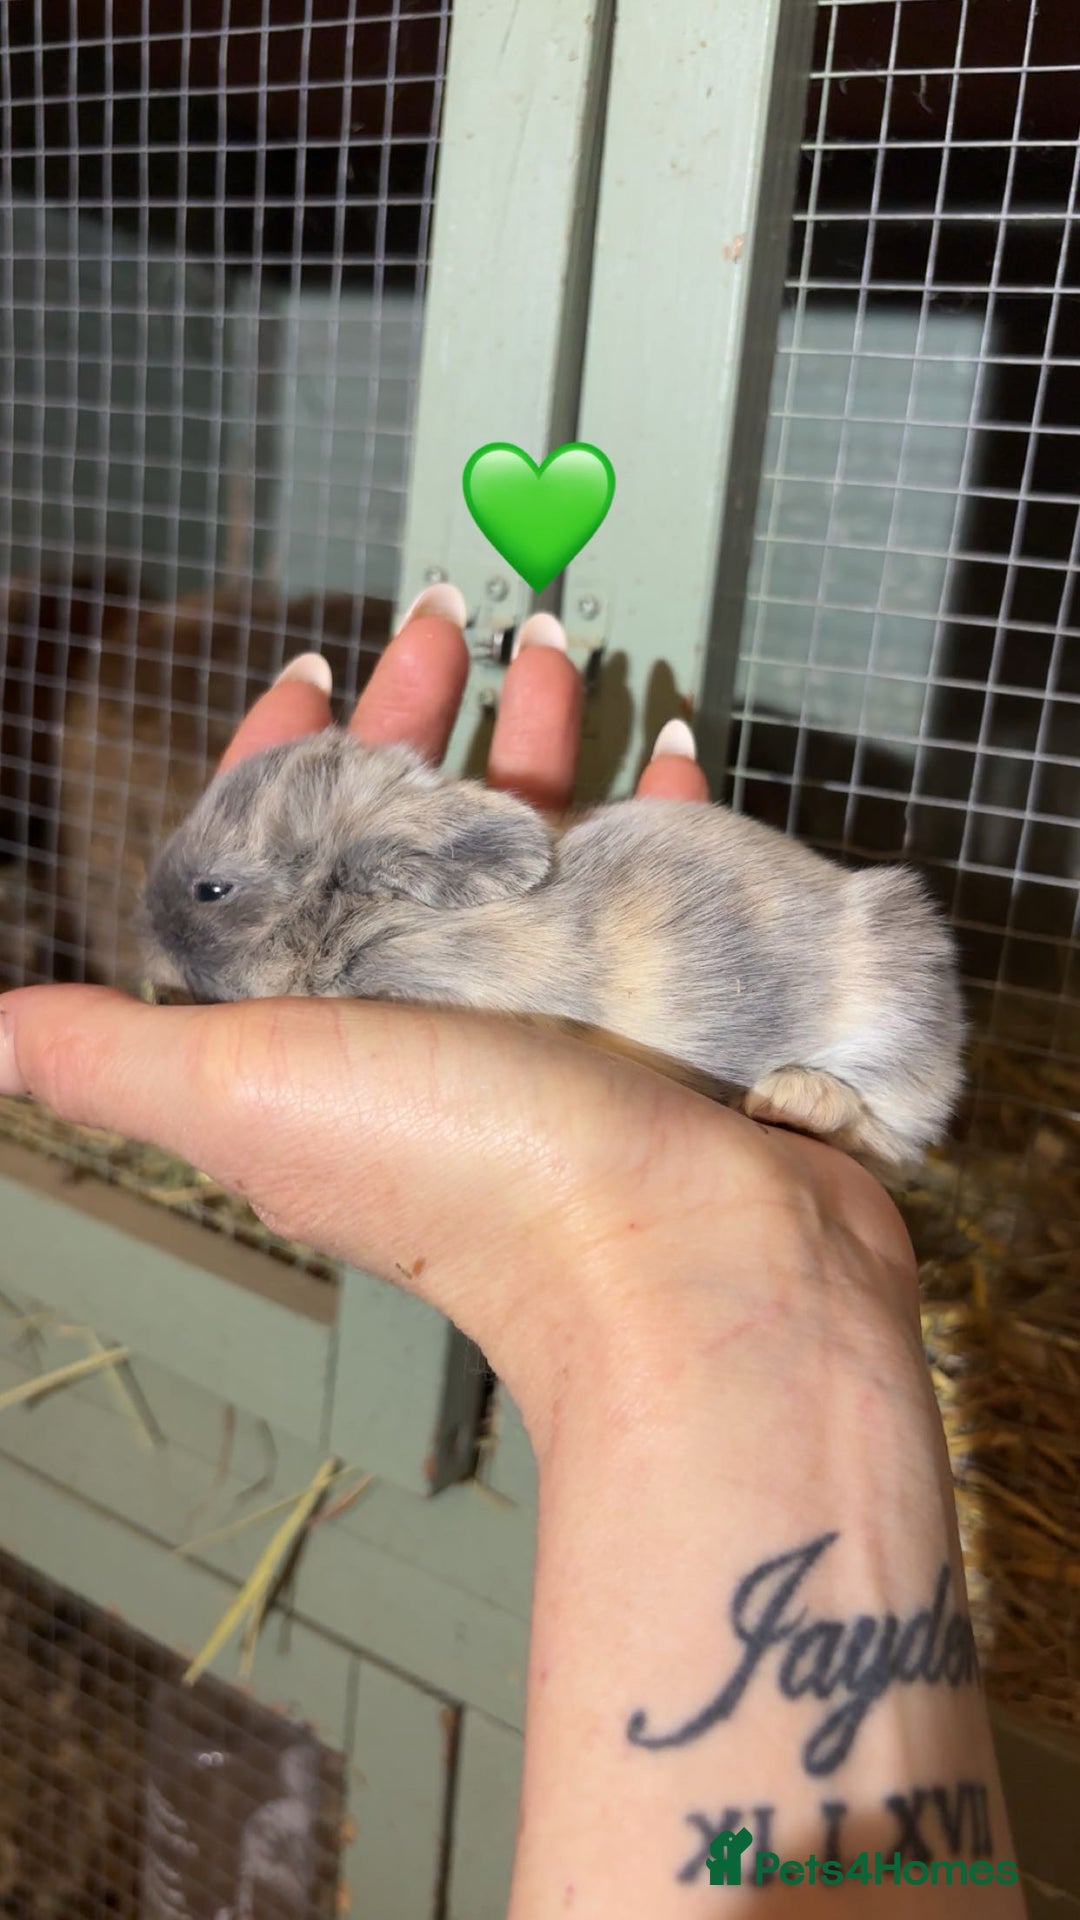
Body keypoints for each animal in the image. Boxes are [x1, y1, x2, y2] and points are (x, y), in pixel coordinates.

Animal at [138, 726, 967, 1172]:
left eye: (211, 890)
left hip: (893, 1022)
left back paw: (790, 1097)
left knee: (885, 1134)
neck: (357, 915)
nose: (144, 935)